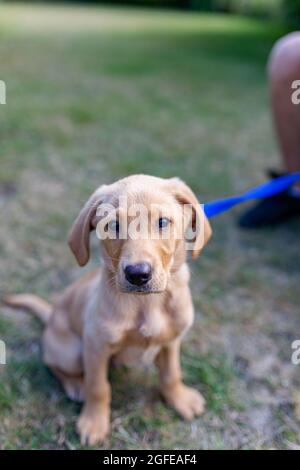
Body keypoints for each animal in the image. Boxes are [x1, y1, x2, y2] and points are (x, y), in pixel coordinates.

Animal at [4, 175, 211, 444]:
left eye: (163, 222)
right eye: (113, 225)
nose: (138, 274)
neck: (146, 305)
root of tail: (51, 315)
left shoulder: (171, 340)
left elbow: (171, 373)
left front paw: (180, 399)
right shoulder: (96, 346)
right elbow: (99, 387)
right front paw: (94, 422)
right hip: (71, 352)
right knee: (54, 364)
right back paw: (76, 386)